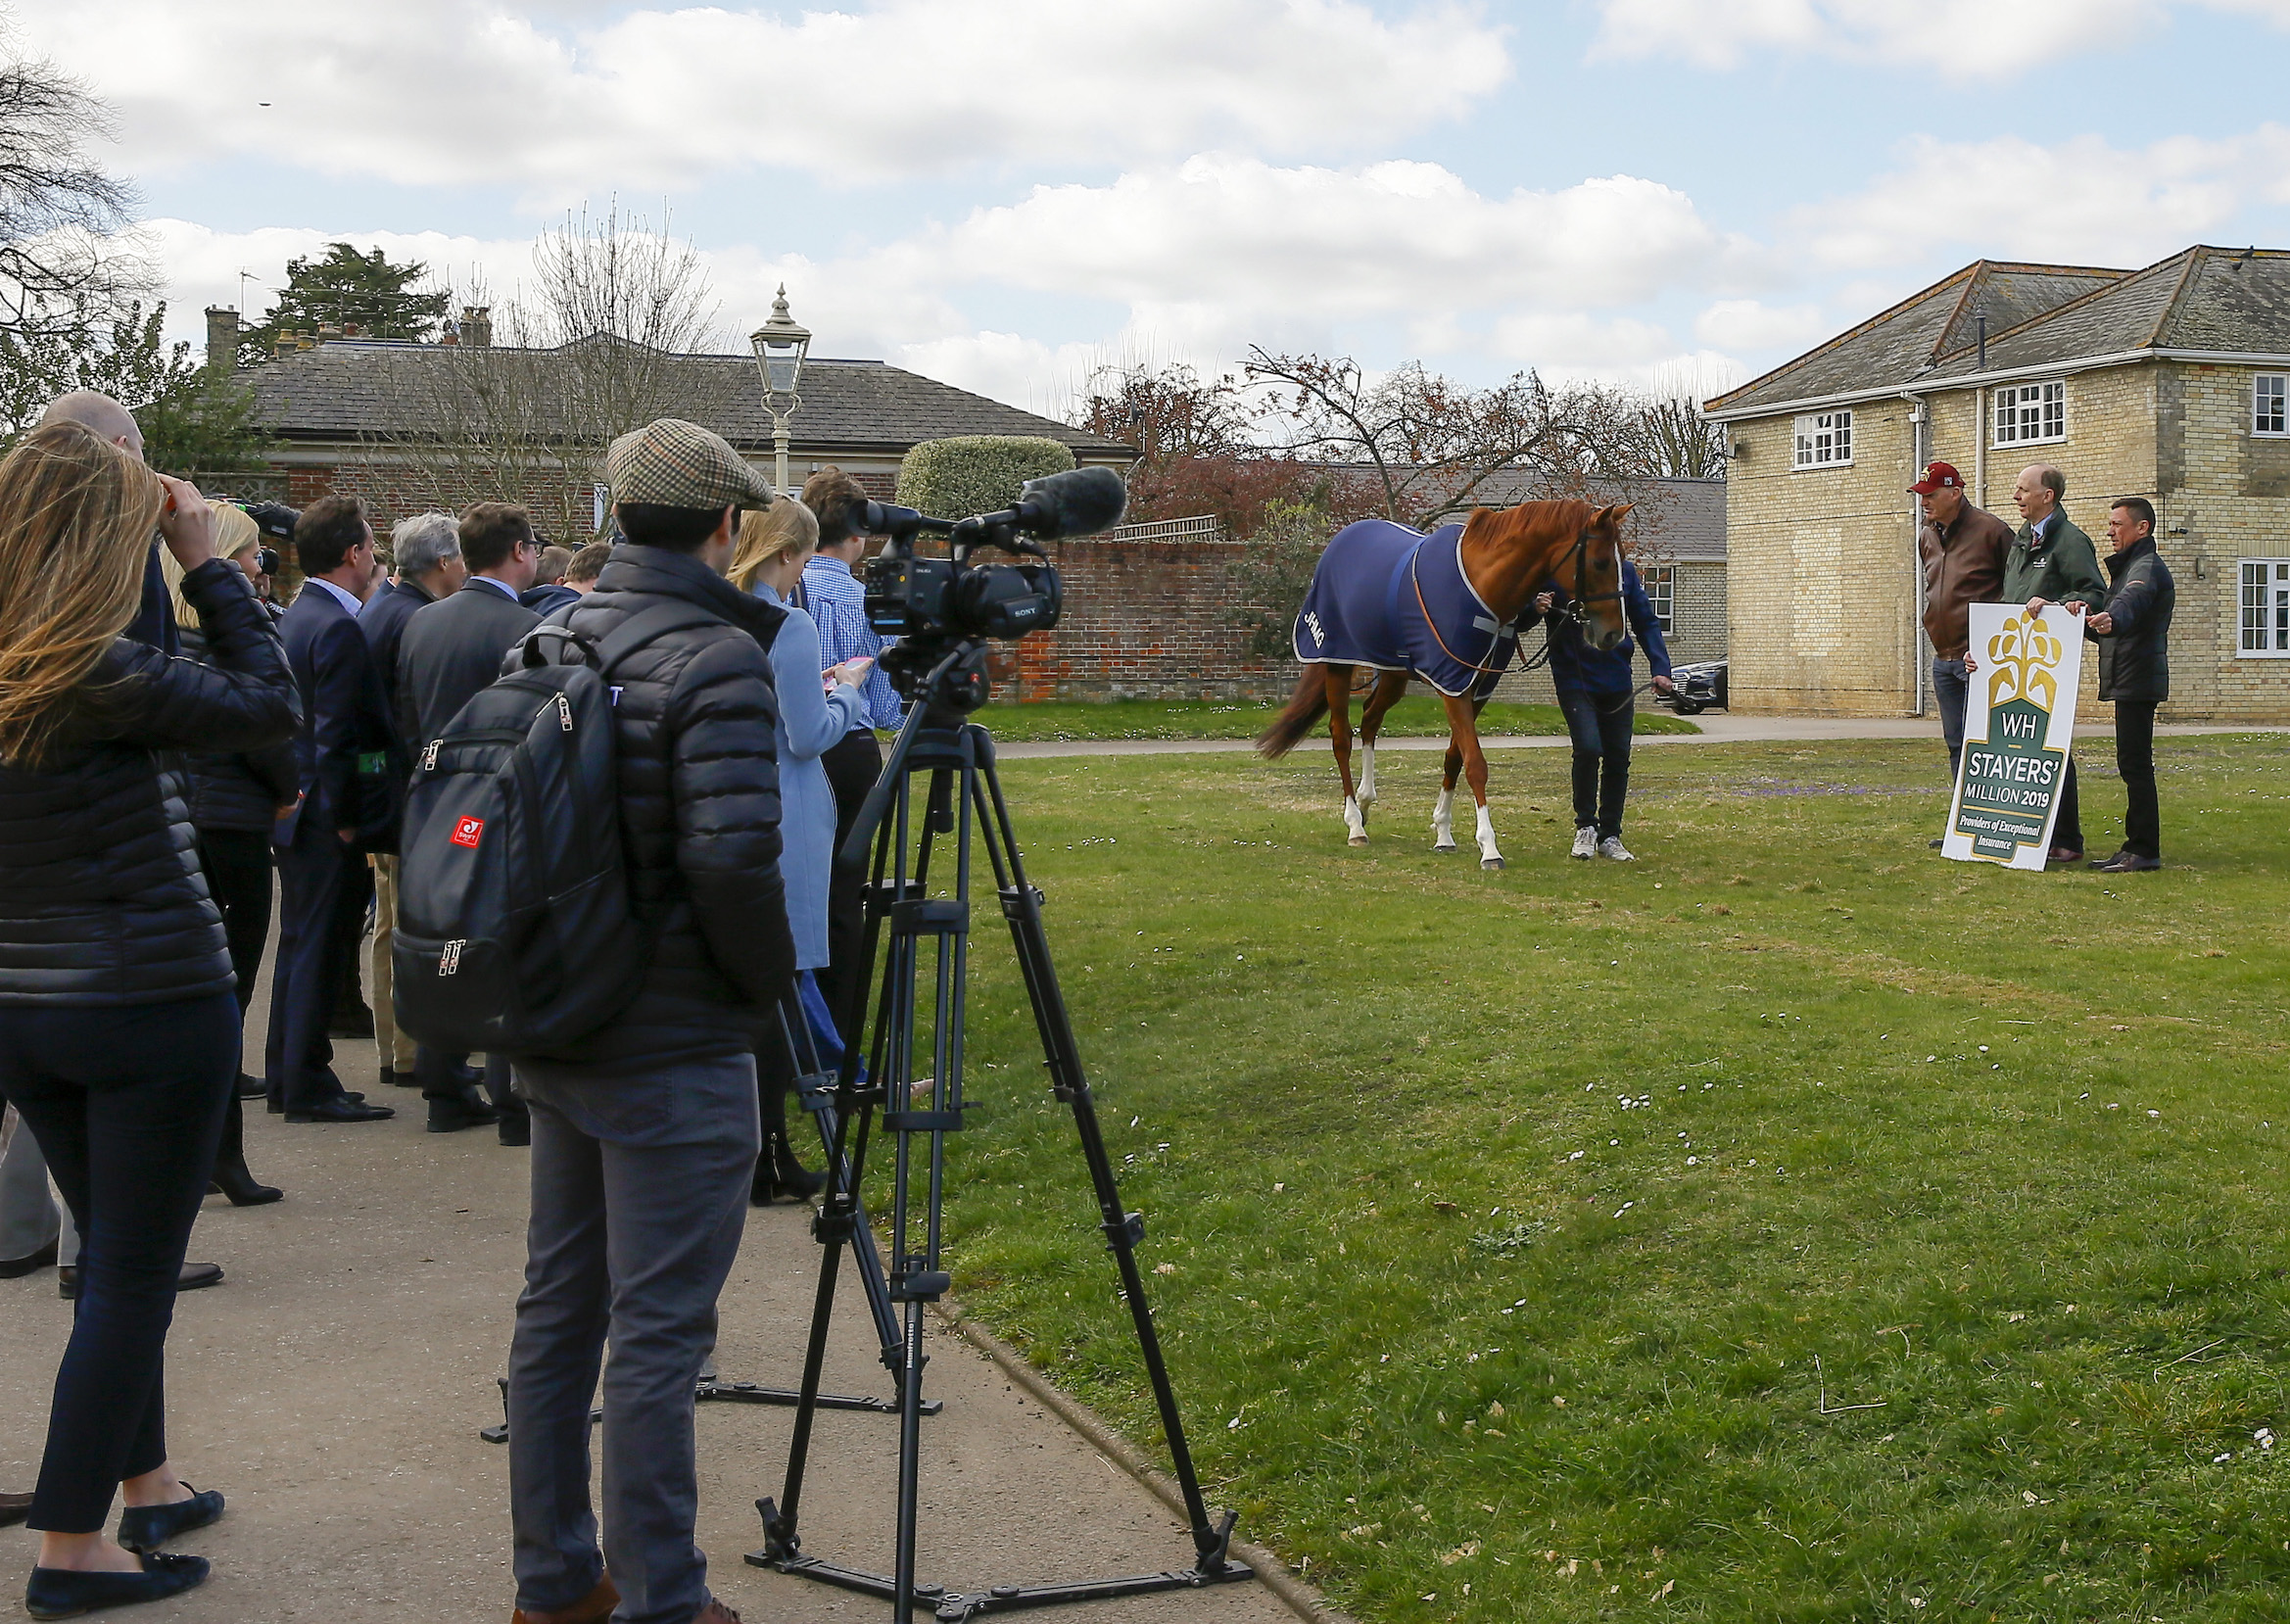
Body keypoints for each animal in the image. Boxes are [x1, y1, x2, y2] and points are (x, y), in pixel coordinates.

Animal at [1255, 499, 1630, 865]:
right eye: (1599, 563)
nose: (1613, 634)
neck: (1484, 586)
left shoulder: (1477, 689)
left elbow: (1455, 757)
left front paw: (1444, 833)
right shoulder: (1452, 685)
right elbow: (1475, 763)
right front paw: (1489, 848)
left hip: (1395, 672)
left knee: (1370, 718)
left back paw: (1365, 802)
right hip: (1336, 663)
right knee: (1341, 738)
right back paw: (1354, 824)